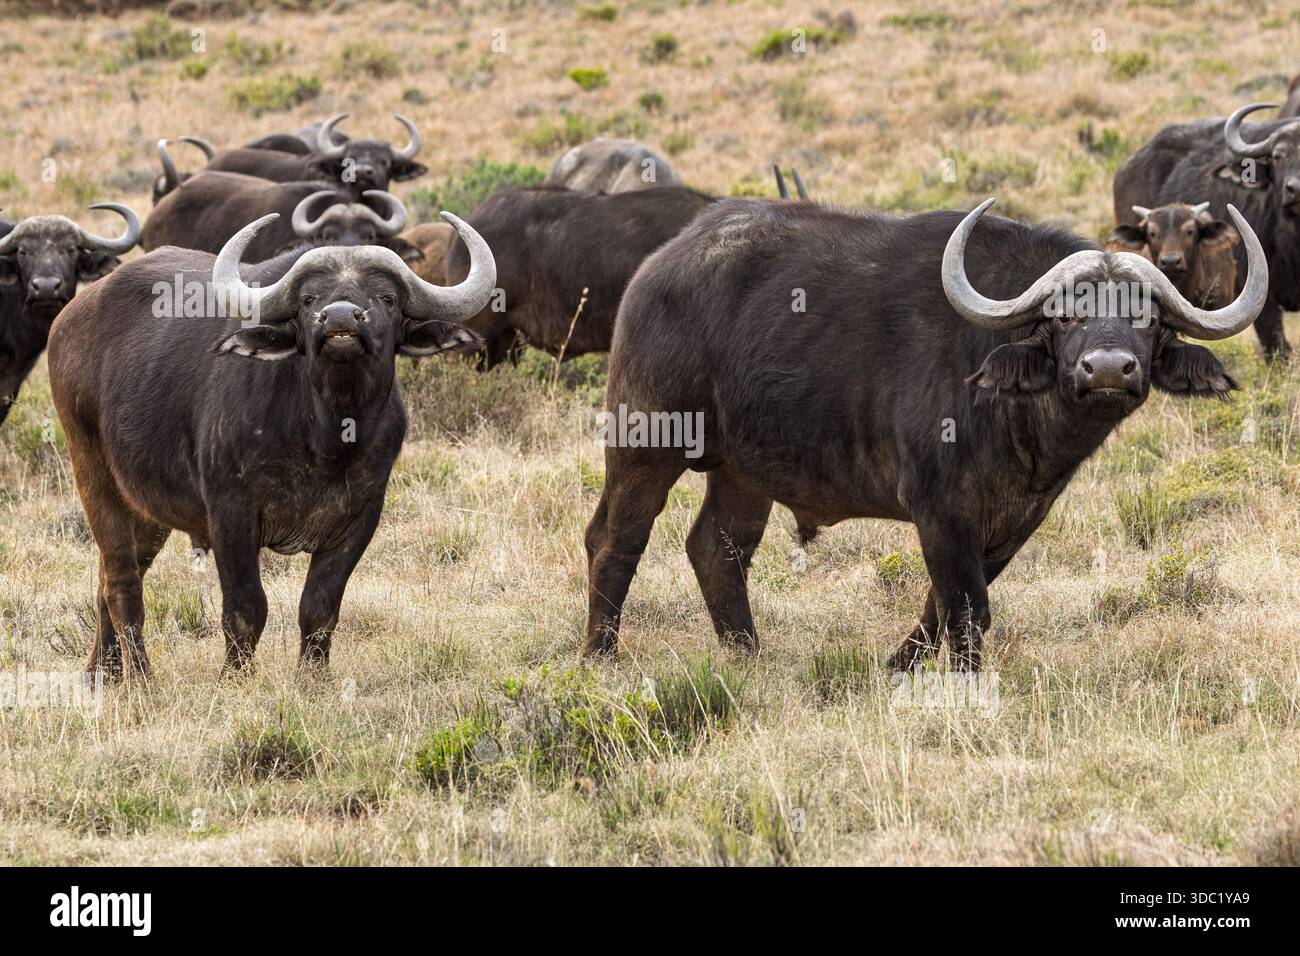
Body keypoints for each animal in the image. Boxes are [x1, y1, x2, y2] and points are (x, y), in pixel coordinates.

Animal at [47, 212, 495, 679]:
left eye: (386, 298)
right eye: (309, 299)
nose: (340, 319)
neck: (326, 438)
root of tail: (69, 318)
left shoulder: (361, 518)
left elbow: (320, 609)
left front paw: (314, 681)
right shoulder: (231, 513)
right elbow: (246, 609)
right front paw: (234, 679)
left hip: (148, 507)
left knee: (109, 580)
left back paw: (102, 674)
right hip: (92, 472)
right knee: (121, 581)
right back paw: (142, 678)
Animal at [581, 198, 1266, 669]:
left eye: (1147, 319)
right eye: (1065, 314)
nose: (1106, 370)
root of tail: (659, 267)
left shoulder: (1012, 521)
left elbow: (944, 606)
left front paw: (897, 666)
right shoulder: (939, 508)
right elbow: (966, 611)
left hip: (742, 472)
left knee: (717, 550)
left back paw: (748, 655)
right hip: (645, 440)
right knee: (615, 540)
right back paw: (600, 656)